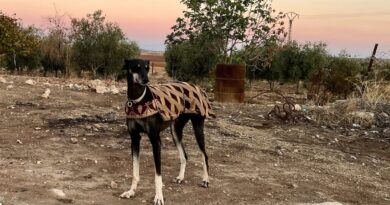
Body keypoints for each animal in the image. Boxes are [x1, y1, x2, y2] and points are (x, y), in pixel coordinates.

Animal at [120, 58, 215, 204]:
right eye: (136, 67)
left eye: (147, 68)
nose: (146, 80)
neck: (138, 100)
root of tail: (197, 87)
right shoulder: (134, 139)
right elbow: (135, 172)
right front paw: (131, 192)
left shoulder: (155, 140)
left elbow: (158, 175)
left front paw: (159, 197)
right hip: (175, 131)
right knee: (184, 155)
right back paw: (180, 177)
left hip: (198, 127)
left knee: (204, 154)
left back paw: (205, 180)